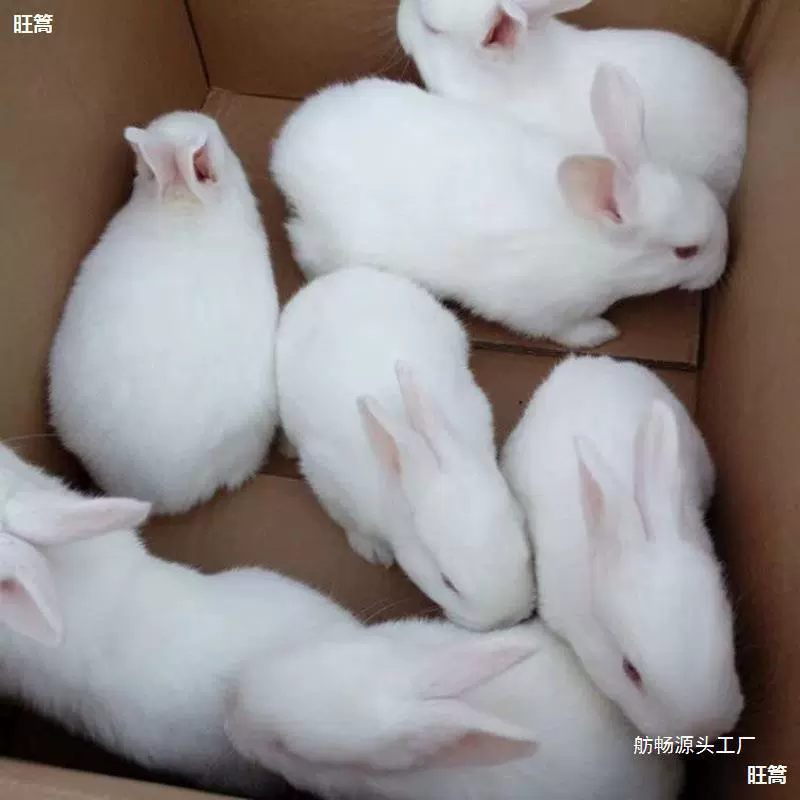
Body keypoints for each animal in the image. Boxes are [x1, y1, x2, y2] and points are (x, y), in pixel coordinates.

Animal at [271, 70, 728, 350]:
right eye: (686, 252)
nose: (721, 267)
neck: (596, 242)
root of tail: (287, 151)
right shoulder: (544, 310)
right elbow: (566, 330)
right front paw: (601, 333)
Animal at [276, 266, 535, 632]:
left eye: (525, 543)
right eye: (447, 582)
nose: (508, 618)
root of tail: (339, 277)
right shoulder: (326, 479)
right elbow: (348, 522)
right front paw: (373, 550)